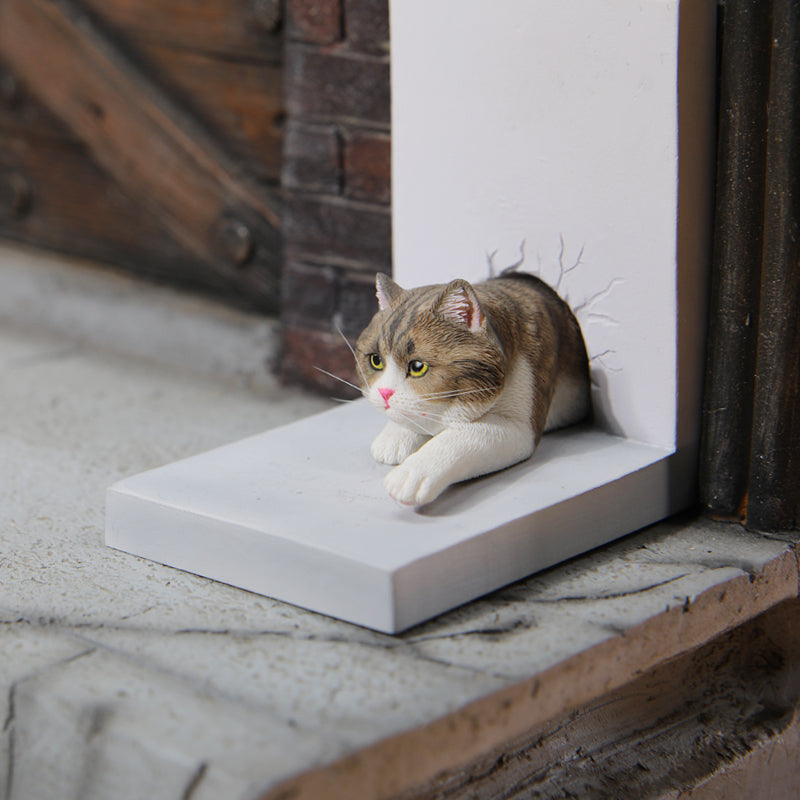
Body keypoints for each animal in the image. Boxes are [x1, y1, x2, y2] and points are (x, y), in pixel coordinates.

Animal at [354, 272, 592, 504]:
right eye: (376, 361)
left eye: (418, 367)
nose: (384, 393)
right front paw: (395, 436)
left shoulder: (522, 426)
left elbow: (467, 434)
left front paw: (412, 473)